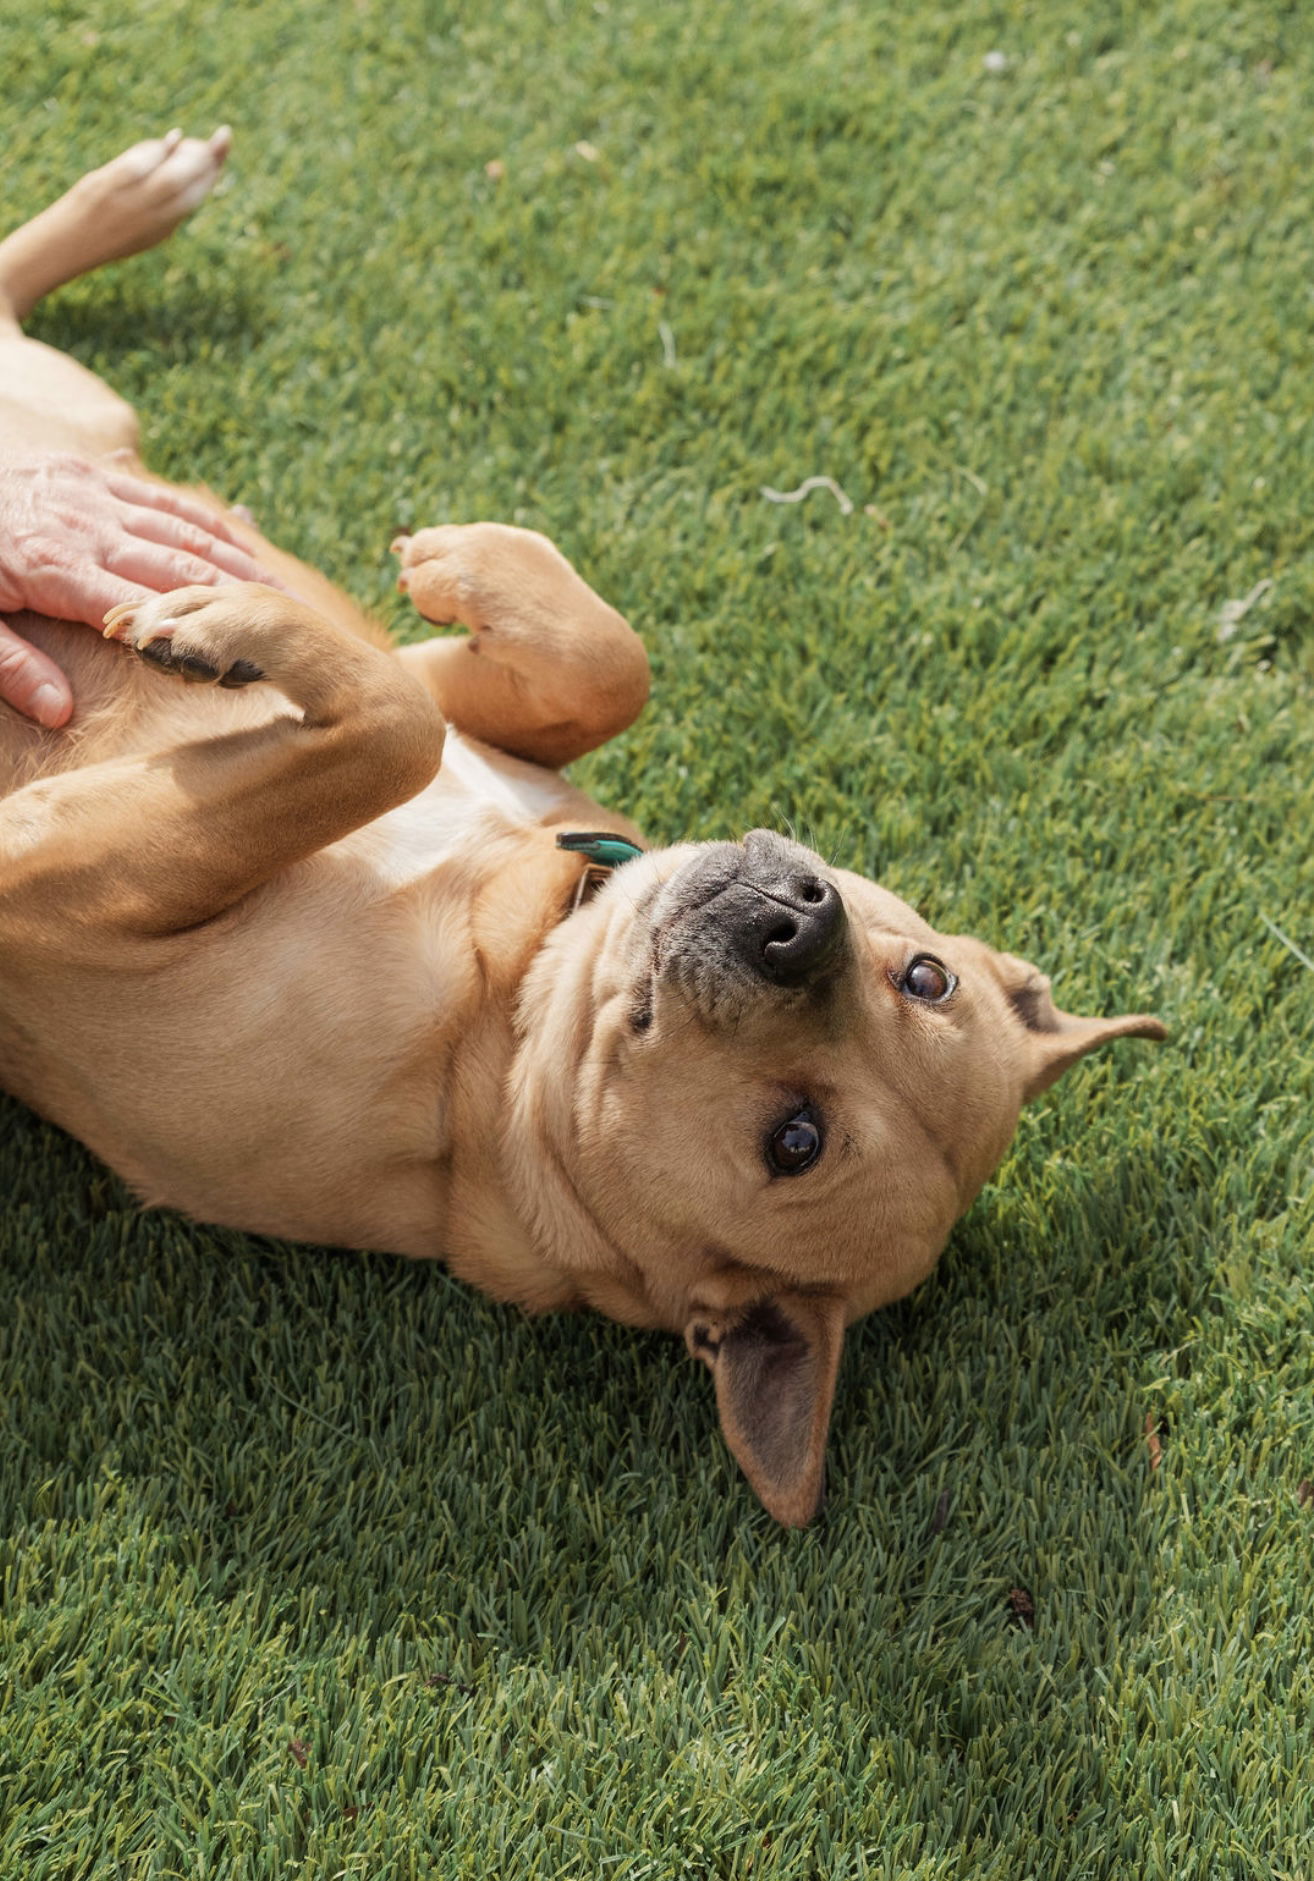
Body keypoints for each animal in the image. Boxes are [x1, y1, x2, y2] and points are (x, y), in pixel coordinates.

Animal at [2, 146, 1173, 1527]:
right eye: (925, 976)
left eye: (799, 1142)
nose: (799, 925)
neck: (512, 981)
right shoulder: (473, 708)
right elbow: (600, 668)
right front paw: (463, 561)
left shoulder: (66, 890)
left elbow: (388, 733)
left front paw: (234, 627)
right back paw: (137, 197)